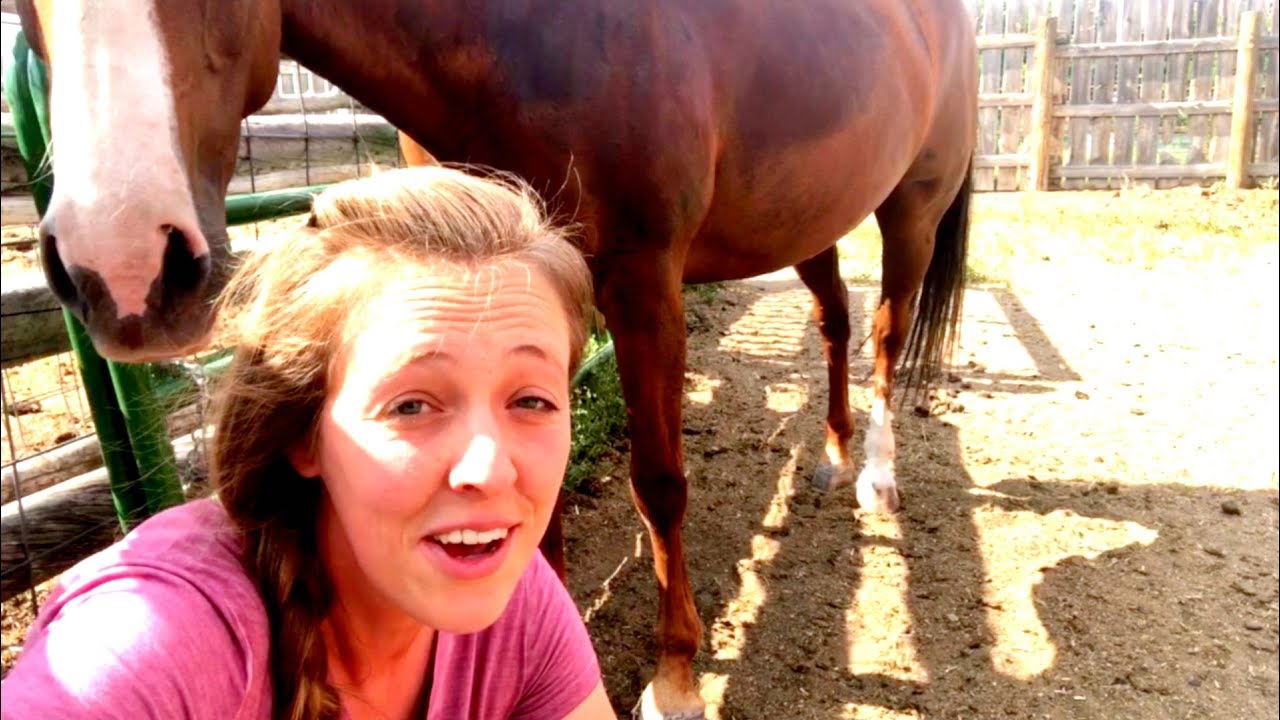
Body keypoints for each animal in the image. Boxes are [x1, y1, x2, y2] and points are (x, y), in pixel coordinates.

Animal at [17, 1, 976, 716]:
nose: (124, 270)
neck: (537, 37)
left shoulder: (644, 282)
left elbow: (659, 484)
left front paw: (674, 678)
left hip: (912, 207)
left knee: (886, 333)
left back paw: (876, 477)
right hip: (810, 219)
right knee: (836, 321)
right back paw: (833, 453)